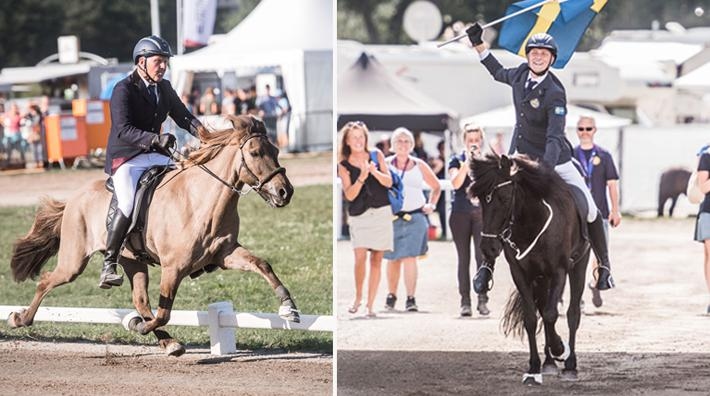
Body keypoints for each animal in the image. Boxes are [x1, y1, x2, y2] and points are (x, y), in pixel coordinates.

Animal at [8, 114, 298, 356]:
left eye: (276, 151)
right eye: (255, 152)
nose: (285, 192)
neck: (201, 199)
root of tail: (73, 199)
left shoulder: (225, 253)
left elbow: (262, 264)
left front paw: (289, 308)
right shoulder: (173, 267)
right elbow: (164, 312)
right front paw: (136, 326)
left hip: (131, 260)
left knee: (140, 300)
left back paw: (167, 341)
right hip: (74, 261)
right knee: (47, 280)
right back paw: (19, 318)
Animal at [470, 153, 592, 386]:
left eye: (504, 197)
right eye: (480, 200)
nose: (488, 249)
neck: (531, 223)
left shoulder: (559, 271)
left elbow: (552, 314)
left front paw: (559, 348)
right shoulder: (521, 274)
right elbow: (531, 319)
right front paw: (534, 368)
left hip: (578, 266)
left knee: (572, 312)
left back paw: (570, 364)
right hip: (542, 279)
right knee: (543, 310)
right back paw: (549, 363)